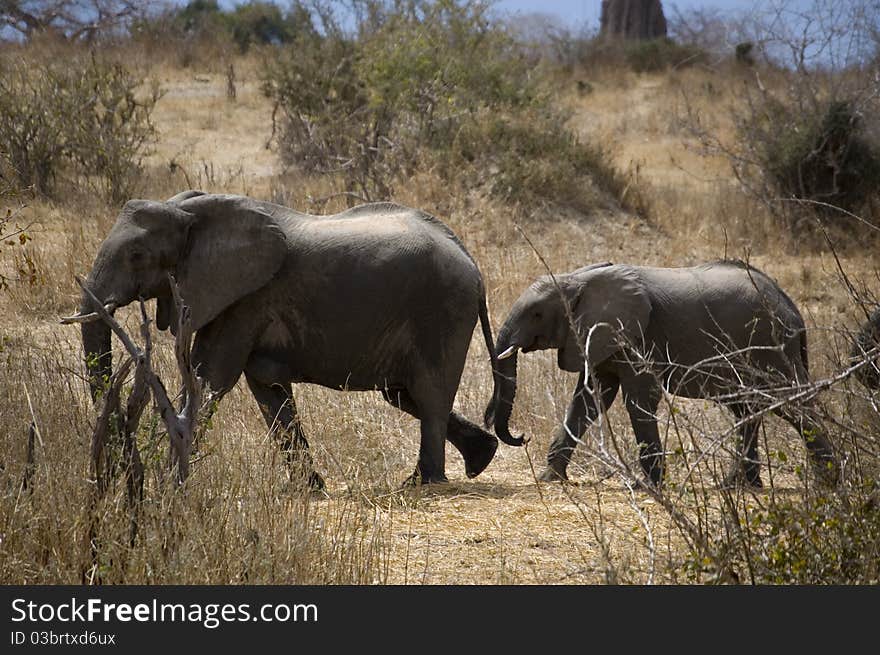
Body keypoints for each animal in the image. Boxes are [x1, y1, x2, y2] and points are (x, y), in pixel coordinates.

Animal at [69, 190, 524, 486]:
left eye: (137, 256)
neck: (189, 211)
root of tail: (470, 260)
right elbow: (265, 389)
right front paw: (310, 489)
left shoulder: (248, 296)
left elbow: (211, 375)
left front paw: (169, 482)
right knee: (404, 395)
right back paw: (479, 460)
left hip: (442, 310)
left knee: (428, 395)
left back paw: (422, 483)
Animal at [488, 260, 840, 486]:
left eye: (536, 314)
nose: (522, 437)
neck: (575, 279)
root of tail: (792, 307)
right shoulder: (600, 337)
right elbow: (587, 401)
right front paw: (551, 479)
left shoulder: (636, 336)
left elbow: (639, 399)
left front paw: (650, 487)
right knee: (746, 408)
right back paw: (739, 486)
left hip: (771, 345)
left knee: (792, 403)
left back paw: (829, 483)